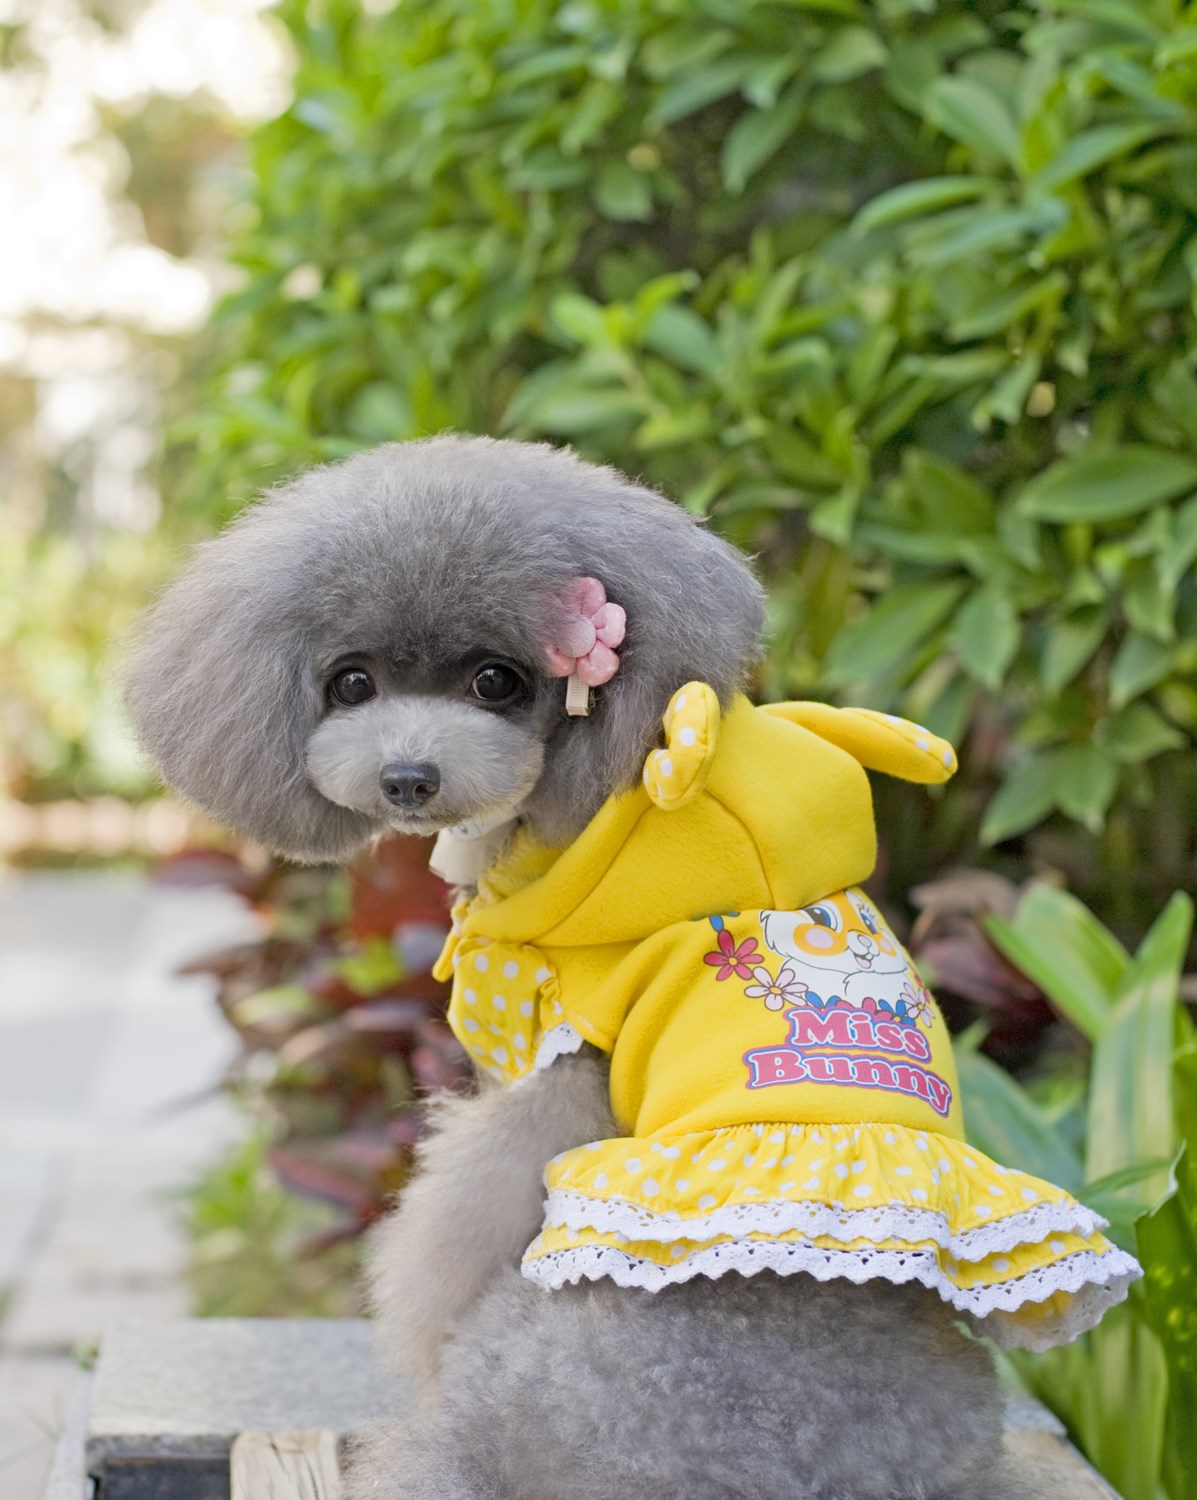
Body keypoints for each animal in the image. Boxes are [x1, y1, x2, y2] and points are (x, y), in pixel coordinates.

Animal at [126, 436, 1032, 1499]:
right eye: (351, 684)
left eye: (496, 681)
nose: (408, 780)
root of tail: (797, 1465)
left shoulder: (554, 1076)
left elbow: (456, 1222)